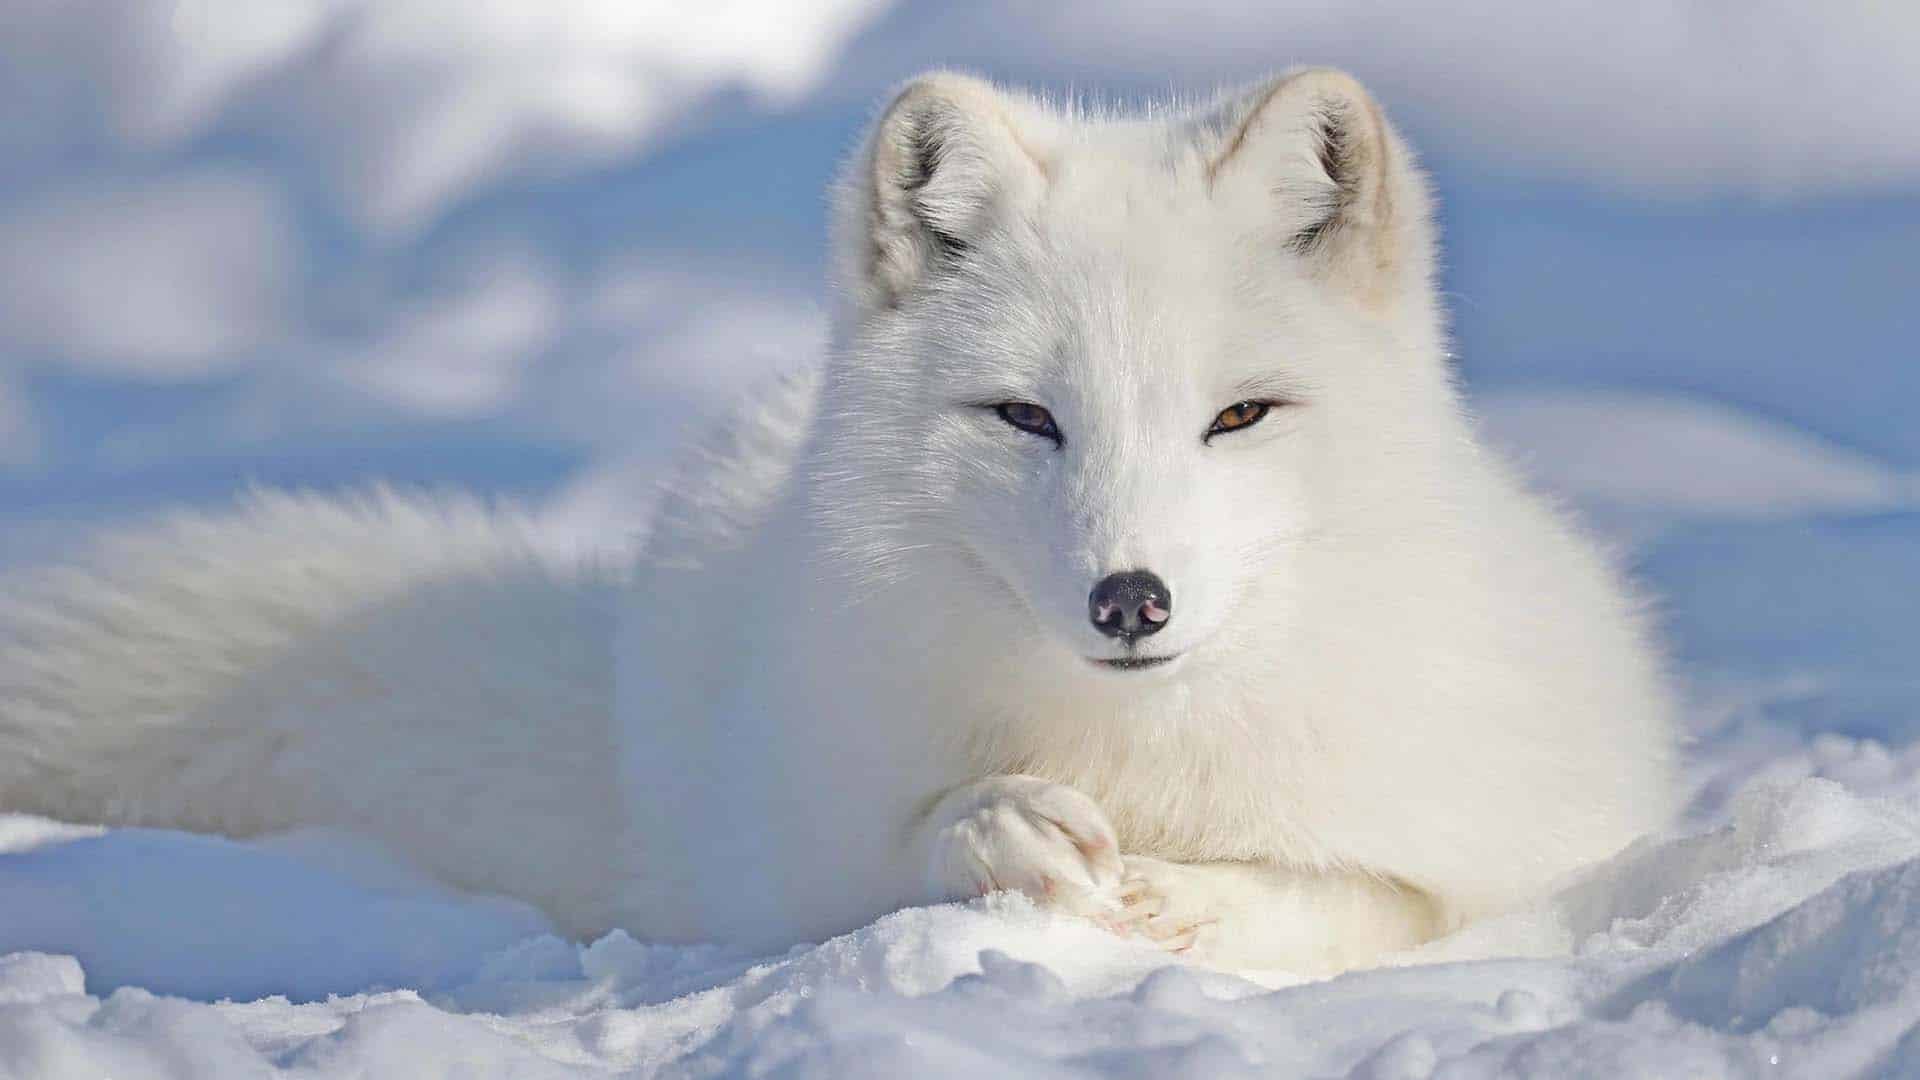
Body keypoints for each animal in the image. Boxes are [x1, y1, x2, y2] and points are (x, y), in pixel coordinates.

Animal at [0, 69, 1676, 976]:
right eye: (1027, 417)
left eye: (1240, 417)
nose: (1130, 600)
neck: (1142, 755)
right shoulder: (806, 859)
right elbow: (908, 843)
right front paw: (1006, 832)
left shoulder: (1520, 845)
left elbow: (1365, 897)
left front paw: (1189, 898)